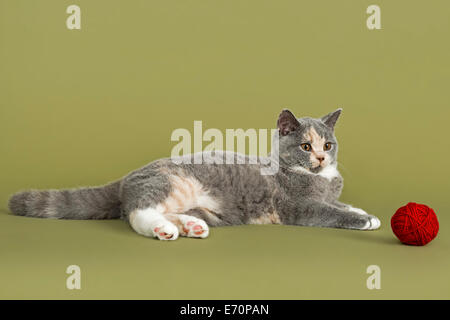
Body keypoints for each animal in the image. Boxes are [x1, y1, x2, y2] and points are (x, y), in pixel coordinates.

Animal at [7, 109, 380, 239]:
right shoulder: (295, 205)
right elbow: (329, 211)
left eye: (328, 145)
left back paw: (190, 225)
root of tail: (128, 176)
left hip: (210, 208)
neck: (322, 180)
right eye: (305, 146)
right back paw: (164, 230)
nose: (321, 157)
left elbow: (341, 204)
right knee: (138, 212)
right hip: (170, 182)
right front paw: (365, 219)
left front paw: (363, 210)